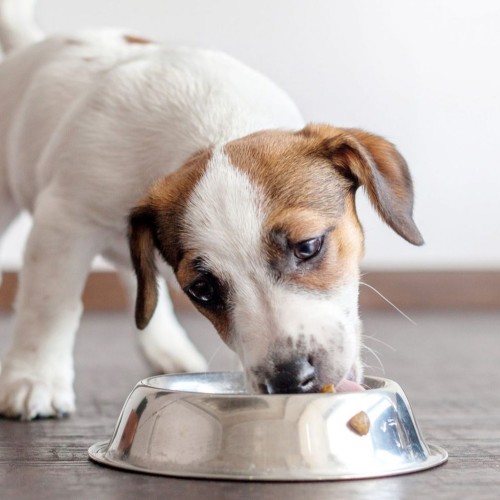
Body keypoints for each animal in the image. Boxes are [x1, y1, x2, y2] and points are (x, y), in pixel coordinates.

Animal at [0, 0, 422, 420]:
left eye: (308, 247)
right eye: (202, 290)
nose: (287, 380)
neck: (213, 126)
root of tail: (29, 47)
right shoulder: (63, 222)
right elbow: (49, 305)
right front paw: (34, 379)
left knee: (141, 283)